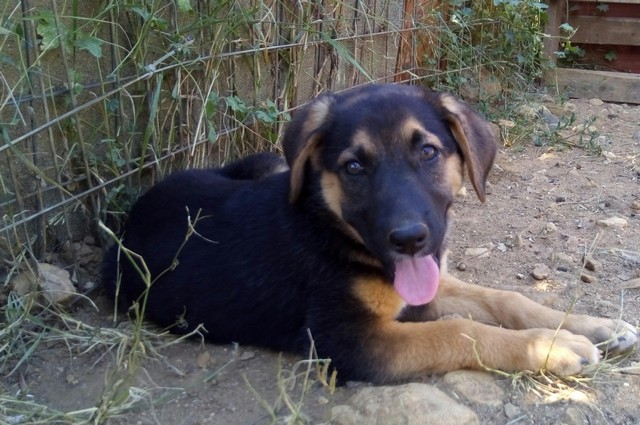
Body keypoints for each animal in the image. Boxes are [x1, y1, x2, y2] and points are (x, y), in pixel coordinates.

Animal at [103, 84, 637, 383]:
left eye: (427, 152)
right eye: (354, 167)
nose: (409, 239)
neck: (332, 230)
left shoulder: (423, 290)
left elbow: (504, 298)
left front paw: (590, 326)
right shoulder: (349, 343)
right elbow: (459, 331)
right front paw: (550, 346)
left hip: (268, 162)